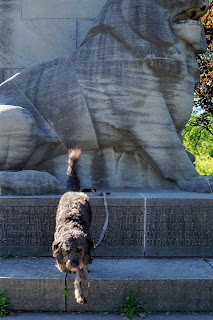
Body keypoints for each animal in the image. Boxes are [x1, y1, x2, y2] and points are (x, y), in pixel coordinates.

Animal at [52, 149, 93, 304]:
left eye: (79, 249)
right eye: (67, 250)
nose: (75, 263)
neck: (72, 226)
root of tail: (75, 191)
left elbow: (82, 277)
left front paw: (81, 295)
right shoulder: (56, 244)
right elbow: (60, 260)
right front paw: (63, 267)